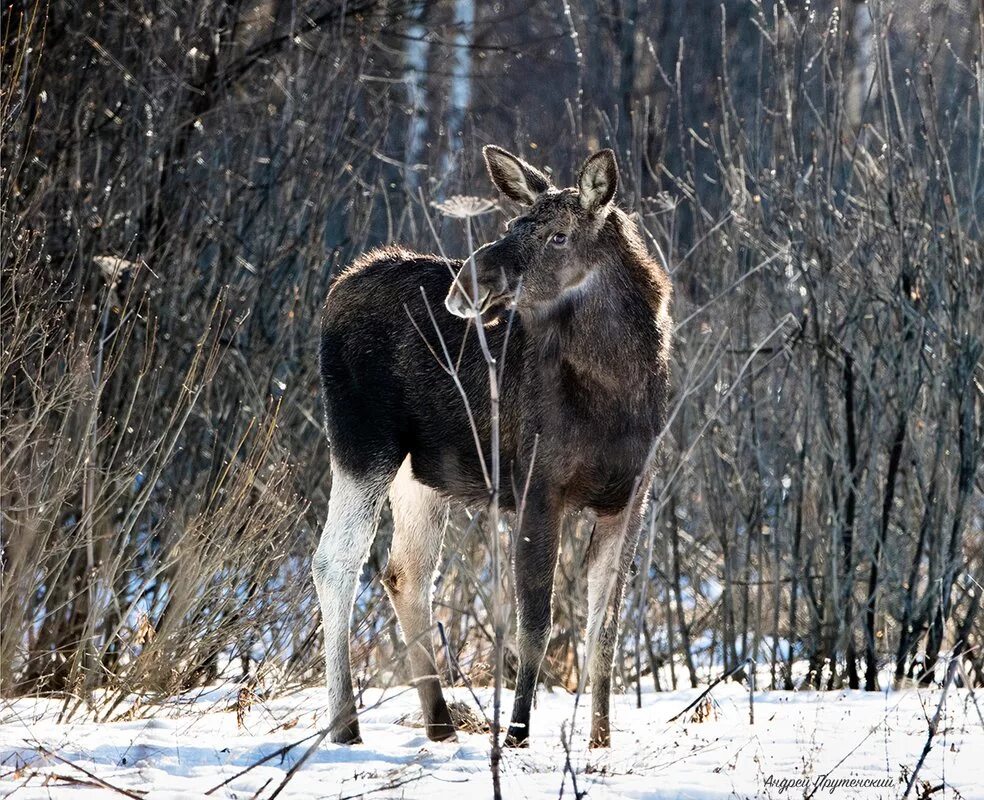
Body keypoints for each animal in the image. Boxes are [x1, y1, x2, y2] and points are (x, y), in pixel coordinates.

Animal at [316, 145, 676, 752]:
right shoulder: (538, 485)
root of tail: (337, 289)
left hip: (421, 473)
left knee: (406, 572)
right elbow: (535, 622)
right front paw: (517, 734)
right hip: (362, 443)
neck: (617, 392)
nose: (466, 283)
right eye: (512, 225)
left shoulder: (631, 497)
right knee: (335, 562)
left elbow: (605, 629)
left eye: (558, 236)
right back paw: (346, 724)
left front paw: (601, 740)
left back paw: (439, 723)